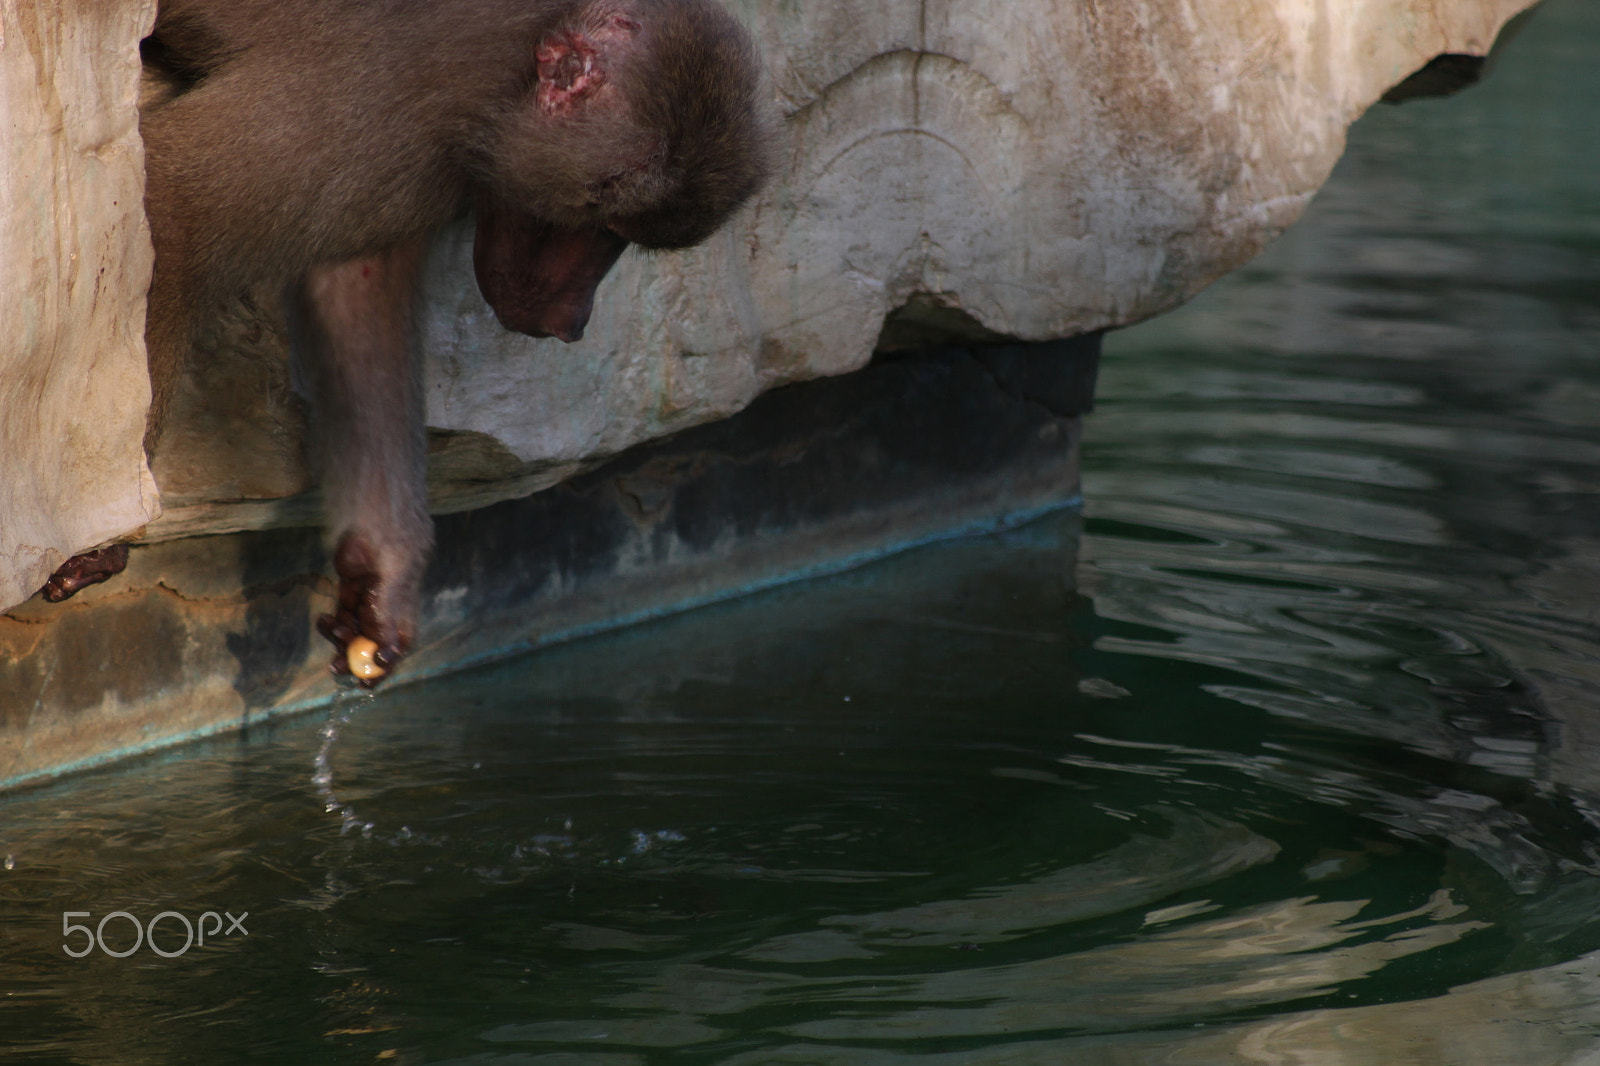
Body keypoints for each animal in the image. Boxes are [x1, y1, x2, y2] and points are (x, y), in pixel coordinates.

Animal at [40, 0, 777, 688]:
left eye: (618, 232)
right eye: (598, 217)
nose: (571, 320)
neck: (521, 57)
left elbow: (359, 281)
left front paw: (379, 577)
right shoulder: (401, 107)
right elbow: (172, 215)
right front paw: (101, 533)